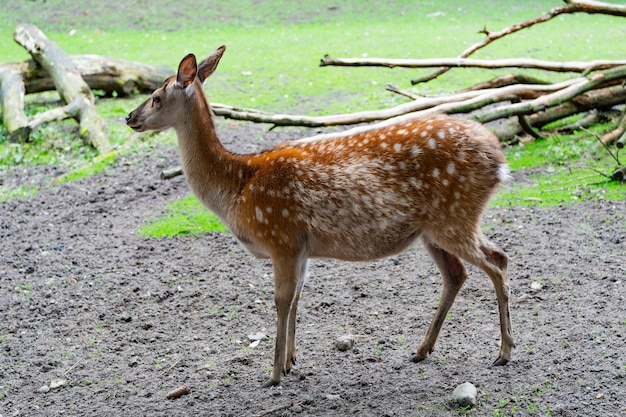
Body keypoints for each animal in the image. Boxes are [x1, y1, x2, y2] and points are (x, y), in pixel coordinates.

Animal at [125, 45, 512, 386]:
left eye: (156, 96)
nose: (129, 117)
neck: (238, 186)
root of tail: (500, 161)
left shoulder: (280, 235)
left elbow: (281, 300)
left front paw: (273, 374)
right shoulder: (300, 246)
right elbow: (297, 297)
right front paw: (291, 362)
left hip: (455, 215)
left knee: (497, 260)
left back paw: (505, 352)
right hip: (433, 229)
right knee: (458, 273)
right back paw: (422, 350)